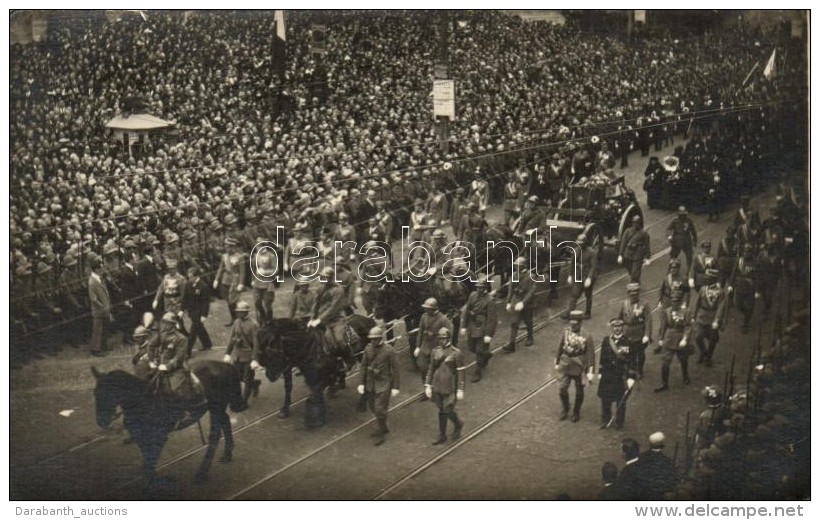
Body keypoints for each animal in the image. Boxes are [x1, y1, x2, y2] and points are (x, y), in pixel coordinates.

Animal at [92, 362, 247, 488]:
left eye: (109, 393)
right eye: (95, 393)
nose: (101, 421)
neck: (143, 400)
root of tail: (224, 365)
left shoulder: (159, 437)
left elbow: (150, 461)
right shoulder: (141, 437)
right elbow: (147, 460)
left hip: (216, 407)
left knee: (214, 435)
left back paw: (202, 473)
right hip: (217, 408)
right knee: (225, 421)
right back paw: (227, 454)